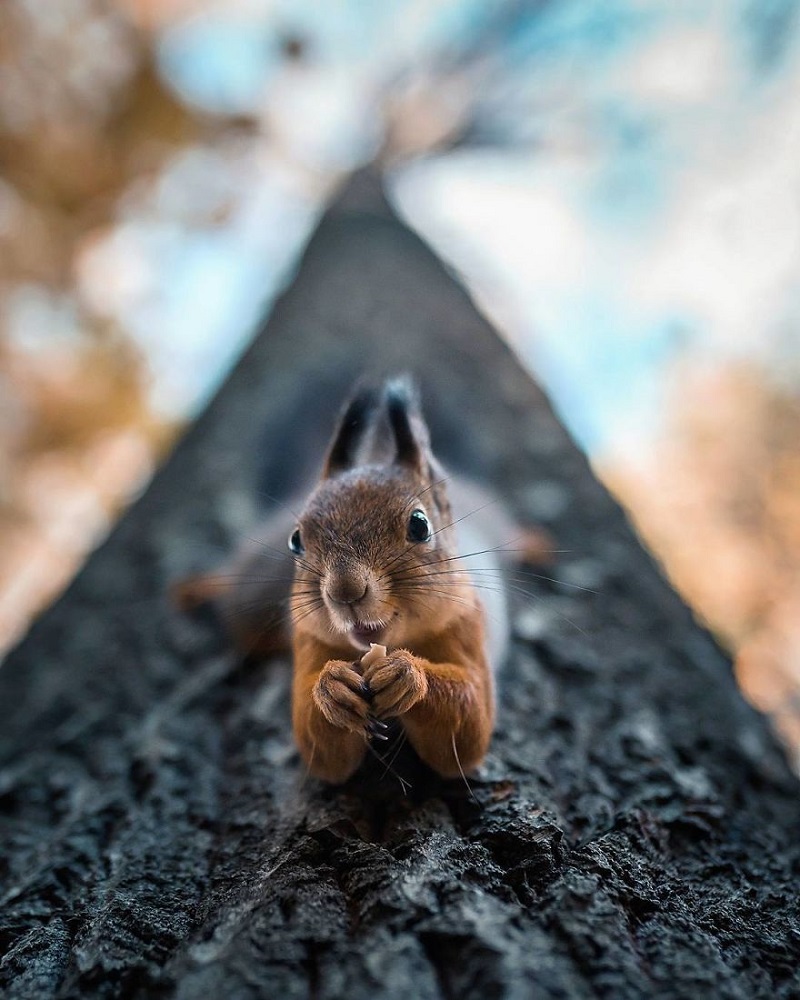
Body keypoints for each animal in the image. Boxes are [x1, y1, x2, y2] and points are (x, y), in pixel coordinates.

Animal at [176, 376, 552, 788]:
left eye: (419, 525)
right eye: (296, 540)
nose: (345, 591)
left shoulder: (467, 625)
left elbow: (469, 726)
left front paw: (407, 674)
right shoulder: (309, 639)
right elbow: (320, 749)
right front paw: (331, 688)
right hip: (251, 600)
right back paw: (199, 587)